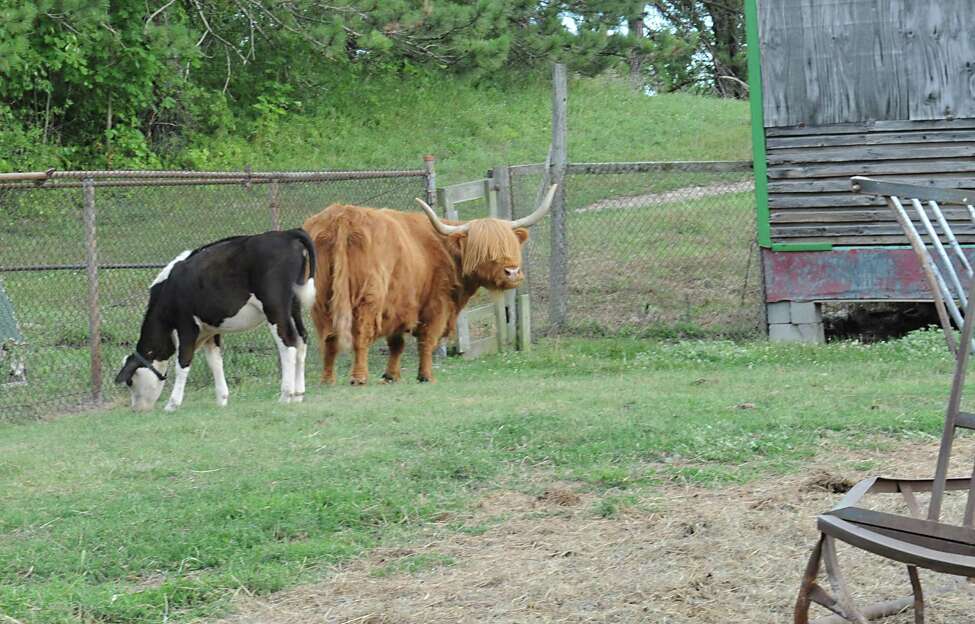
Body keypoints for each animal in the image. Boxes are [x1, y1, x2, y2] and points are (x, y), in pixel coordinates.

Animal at [115, 229, 316, 410]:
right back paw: (299, 394)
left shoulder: (187, 325)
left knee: (288, 344)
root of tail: (287, 233)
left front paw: (172, 404)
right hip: (294, 306)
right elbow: (215, 362)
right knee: (302, 340)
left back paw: (285, 395)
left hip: (275, 308)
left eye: (131, 382)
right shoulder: (210, 330)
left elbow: (183, 363)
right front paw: (222, 399)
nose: (136, 408)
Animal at [304, 184, 556, 386]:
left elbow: (397, 344)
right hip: (368, 296)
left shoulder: (399, 306)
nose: (512, 272)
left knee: (329, 338)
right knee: (360, 334)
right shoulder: (436, 305)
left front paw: (391, 376)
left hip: (321, 297)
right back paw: (358, 377)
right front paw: (425, 376)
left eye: (511, 245)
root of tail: (343, 216)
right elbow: (427, 340)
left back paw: (327, 380)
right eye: (483, 251)